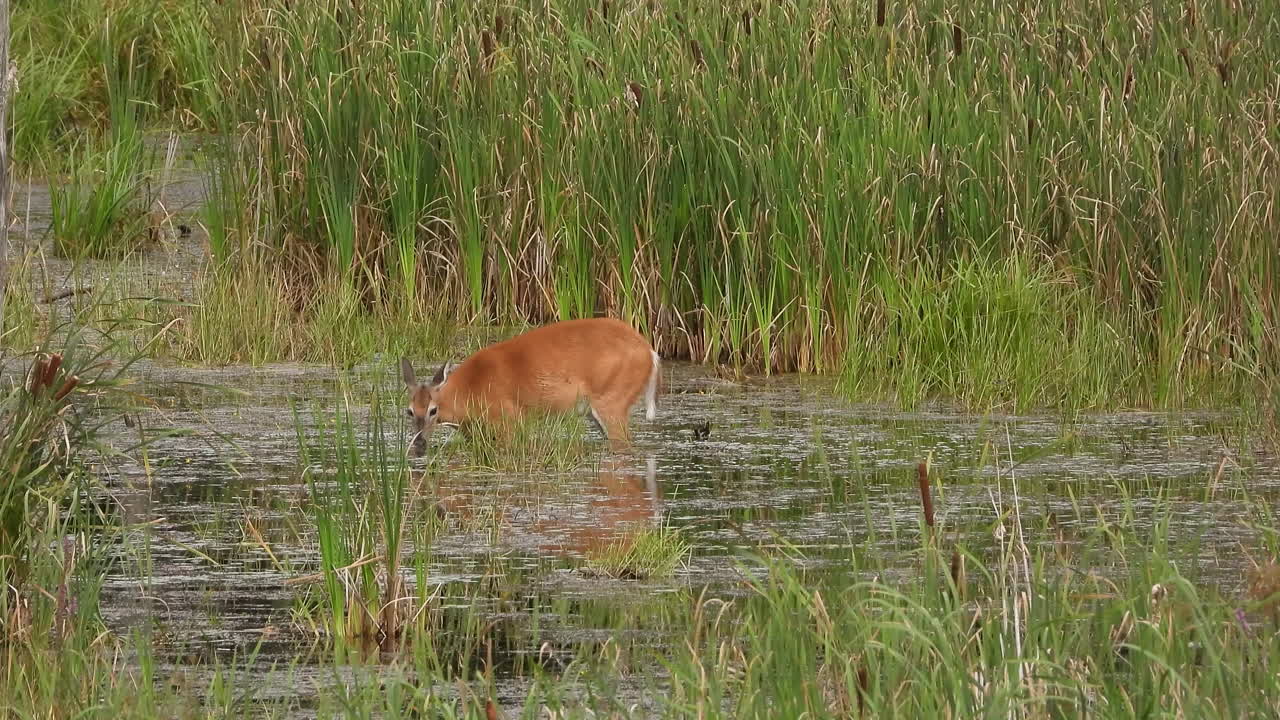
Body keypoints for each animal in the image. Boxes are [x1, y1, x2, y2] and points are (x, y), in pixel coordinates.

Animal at [399, 317, 661, 450]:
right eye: (409, 411)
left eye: (433, 410)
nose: (419, 441)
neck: (469, 390)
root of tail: (649, 352)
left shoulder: (509, 421)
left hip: (613, 399)